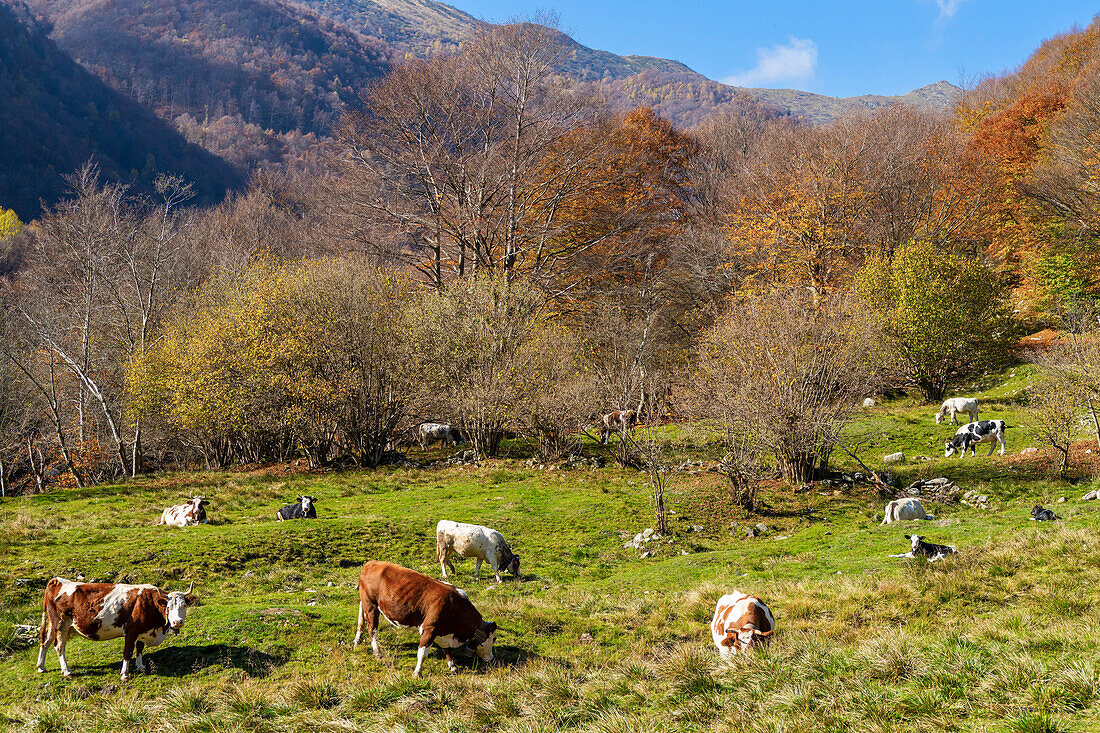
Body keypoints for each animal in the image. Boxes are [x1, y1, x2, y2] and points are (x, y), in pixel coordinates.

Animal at [36, 576, 199, 677]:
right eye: (169, 607)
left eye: (184, 606)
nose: (178, 622)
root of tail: (57, 580)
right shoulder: (131, 631)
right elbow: (127, 652)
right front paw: (125, 674)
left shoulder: (142, 631)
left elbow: (139, 648)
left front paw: (140, 666)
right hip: (60, 624)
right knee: (59, 646)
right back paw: (67, 671)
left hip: (54, 624)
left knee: (45, 641)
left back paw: (41, 666)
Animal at [352, 559, 499, 673]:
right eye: (493, 639)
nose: (491, 659)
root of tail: (371, 563)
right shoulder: (429, 628)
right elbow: (422, 654)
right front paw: (417, 673)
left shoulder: (442, 631)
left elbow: (447, 649)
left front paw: (452, 666)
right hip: (371, 605)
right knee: (372, 629)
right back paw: (377, 653)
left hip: (364, 603)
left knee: (361, 621)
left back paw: (357, 641)